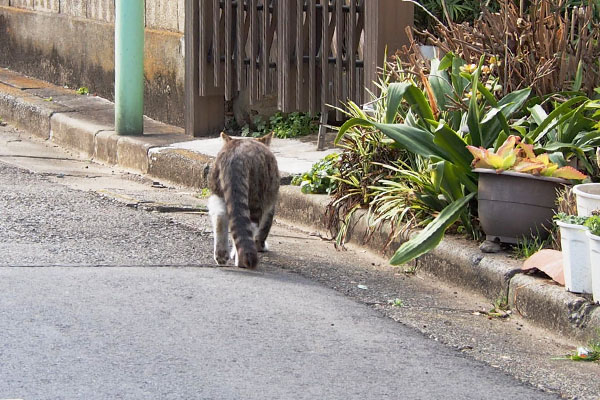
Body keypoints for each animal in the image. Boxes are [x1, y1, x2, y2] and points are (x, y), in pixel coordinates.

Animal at [207, 132, 280, 268]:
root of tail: (236, 155)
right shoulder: (270, 207)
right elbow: (264, 230)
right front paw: (261, 246)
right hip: (256, 197)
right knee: (249, 226)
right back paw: (241, 260)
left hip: (217, 193)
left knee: (219, 217)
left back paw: (221, 255)